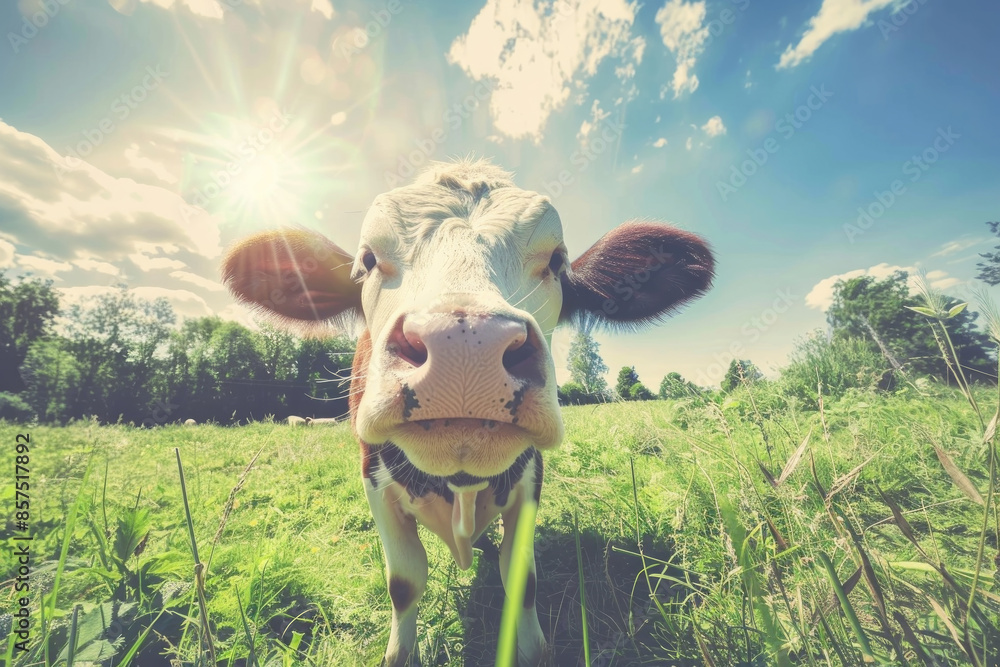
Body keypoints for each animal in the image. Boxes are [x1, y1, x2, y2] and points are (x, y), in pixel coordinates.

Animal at [222, 159, 714, 666]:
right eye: (368, 260)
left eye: (557, 262)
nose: (465, 344)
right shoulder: (372, 480)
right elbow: (404, 583)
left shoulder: (530, 479)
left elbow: (522, 578)